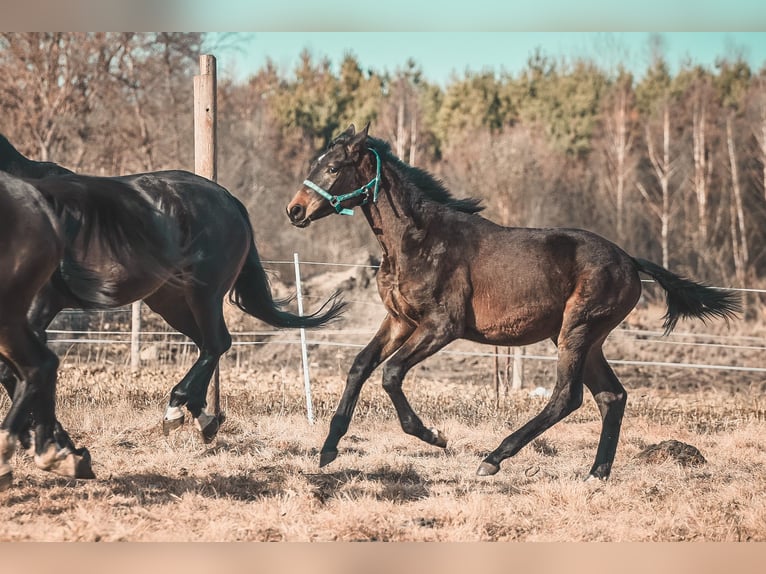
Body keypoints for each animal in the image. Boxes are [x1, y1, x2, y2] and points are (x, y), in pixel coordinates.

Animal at [286, 124, 741, 480]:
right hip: (586, 339)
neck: (416, 239)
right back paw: (595, 474)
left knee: (567, 397)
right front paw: (328, 448)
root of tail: (630, 260)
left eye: (333, 168)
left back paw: (493, 459)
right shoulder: (399, 320)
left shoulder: (440, 326)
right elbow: (360, 366)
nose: (295, 211)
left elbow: (391, 374)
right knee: (611, 397)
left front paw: (434, 436)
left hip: (577, 330)